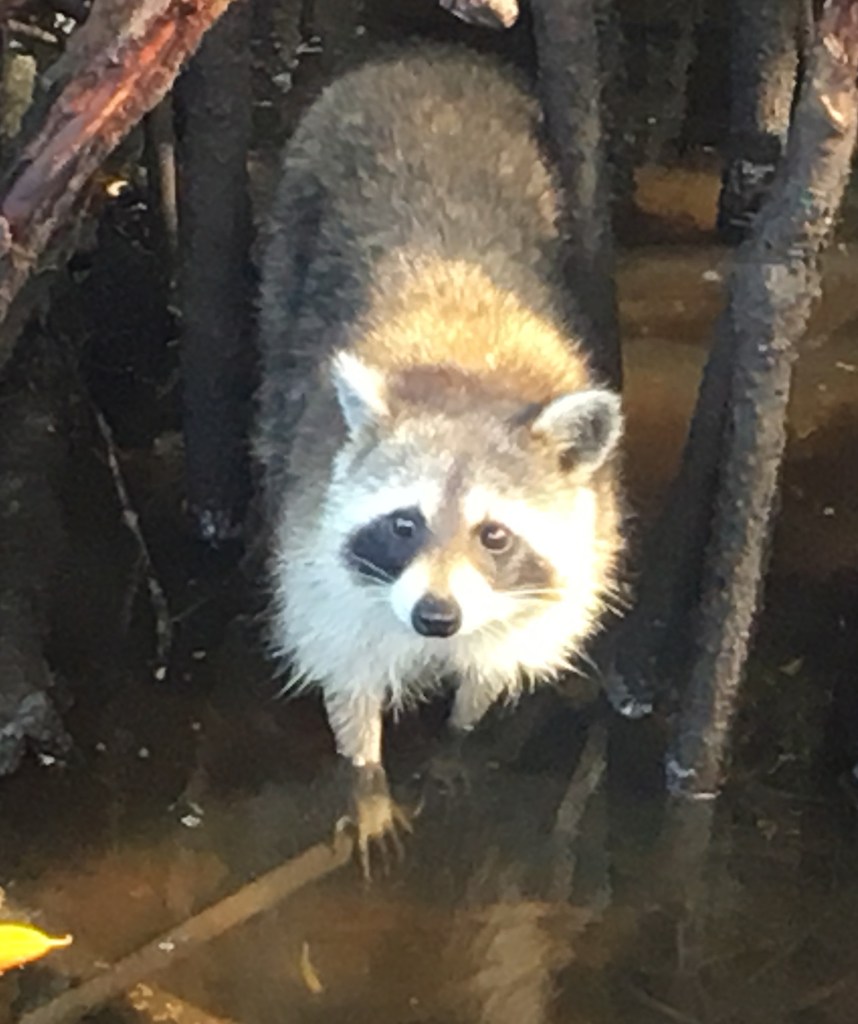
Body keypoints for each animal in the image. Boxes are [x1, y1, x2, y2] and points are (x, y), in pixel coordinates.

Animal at [255, 43, 625, 872]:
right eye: (403, 524)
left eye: (495, 535)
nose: (435, 616)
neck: (465, 379)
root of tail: (425, 58)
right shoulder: (313, 539)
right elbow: (341, 659)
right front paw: (364, 774)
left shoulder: (569, 562)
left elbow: (496, 663)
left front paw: (461, 734)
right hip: (290, 233)